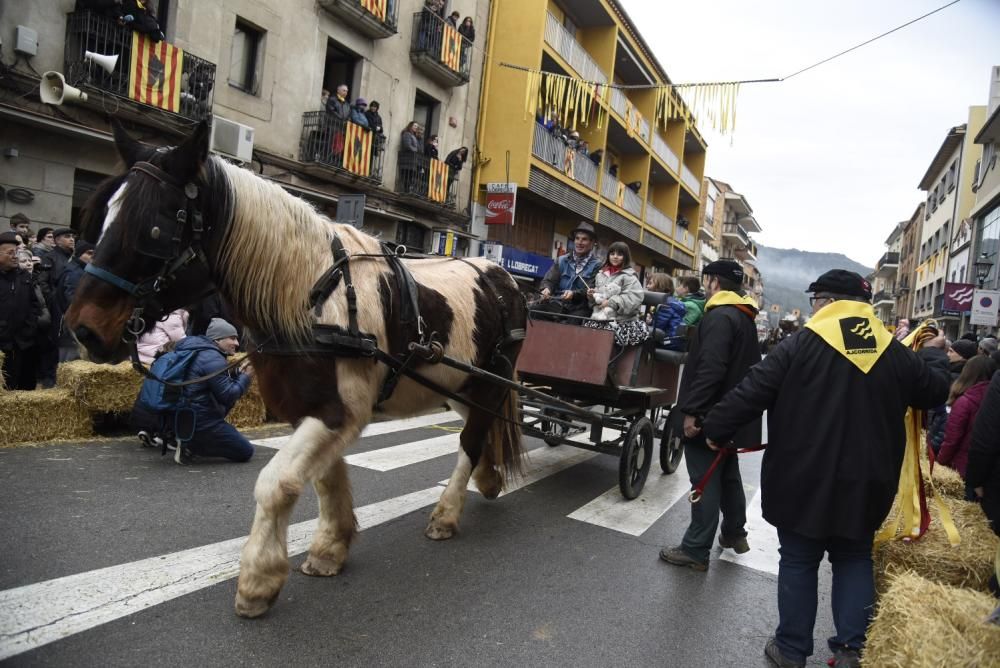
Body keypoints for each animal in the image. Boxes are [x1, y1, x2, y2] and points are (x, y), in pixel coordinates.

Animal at [65, 121, 528, 616]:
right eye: (101, 218)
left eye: (154, 228)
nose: (83, 329)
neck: (315, 296)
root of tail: (505, 279)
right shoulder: (310, 411)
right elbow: (325, 479)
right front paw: (330, 546)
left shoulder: (337, 413)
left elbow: (277, 483)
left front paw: (258, 580)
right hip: (458, 385)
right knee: (479, 432)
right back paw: (488, 479)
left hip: (489, 383)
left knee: (470, 442)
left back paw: (446, 512)